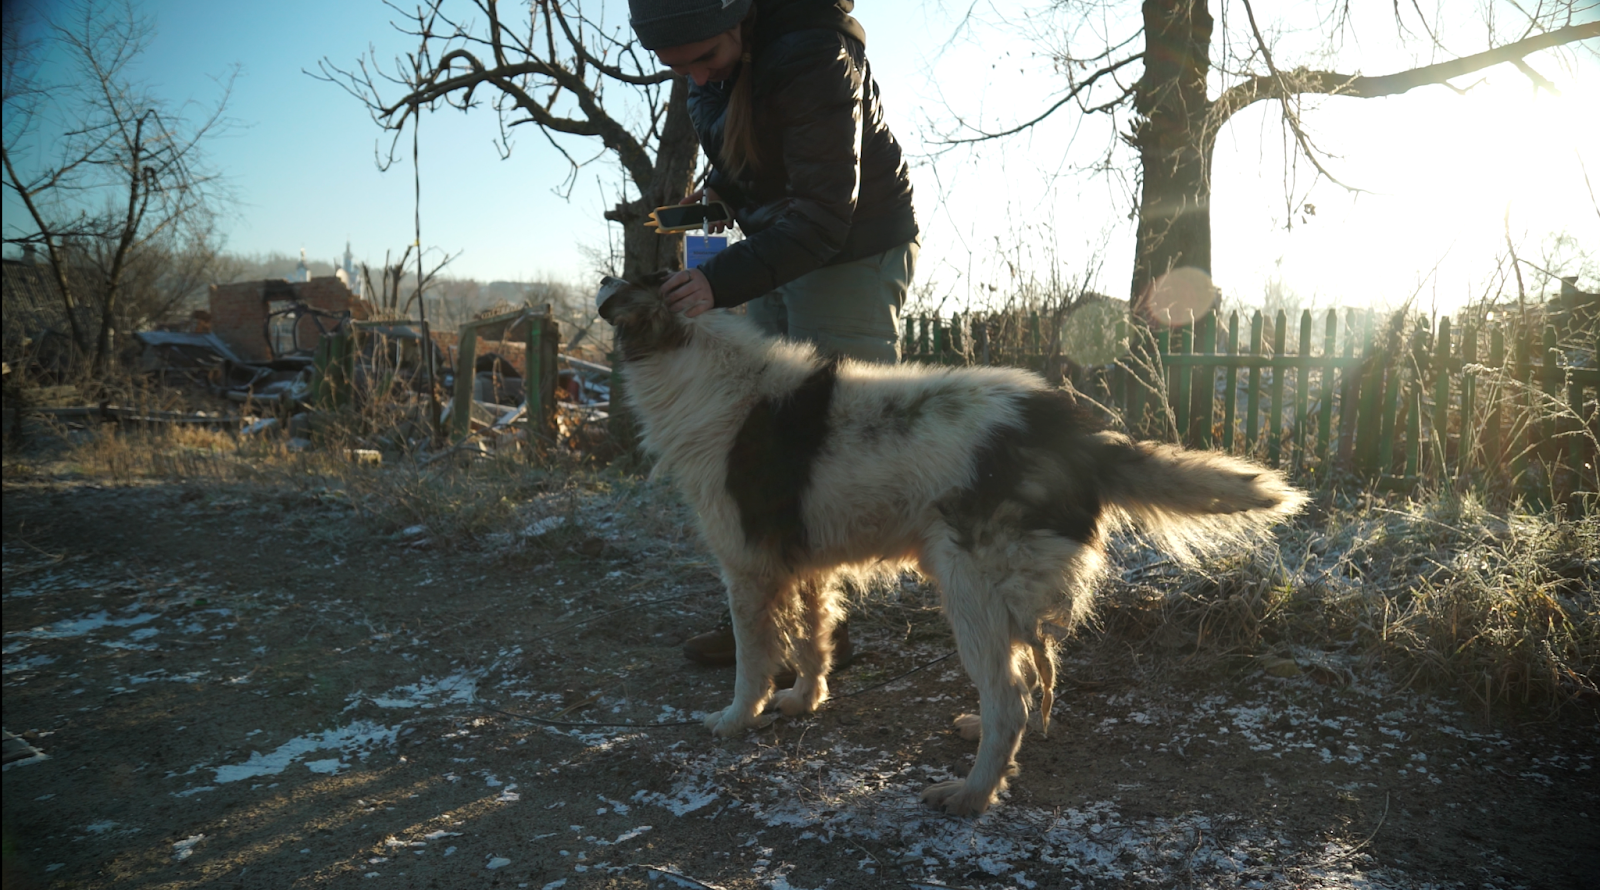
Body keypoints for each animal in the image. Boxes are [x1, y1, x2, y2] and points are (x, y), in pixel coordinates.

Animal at [595, 276, 1305, 813]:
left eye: (629, 276)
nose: (602, 278)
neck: (697, 357)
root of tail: (1078, 437)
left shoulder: (745, 568)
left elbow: (752, 659)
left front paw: (737, 719)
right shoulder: (806, 567)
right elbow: (812, 642)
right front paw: (803, 700)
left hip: (969, 589)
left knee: (1011, 700)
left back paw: (971, 794)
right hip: (999, 596)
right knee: (1027, 679)